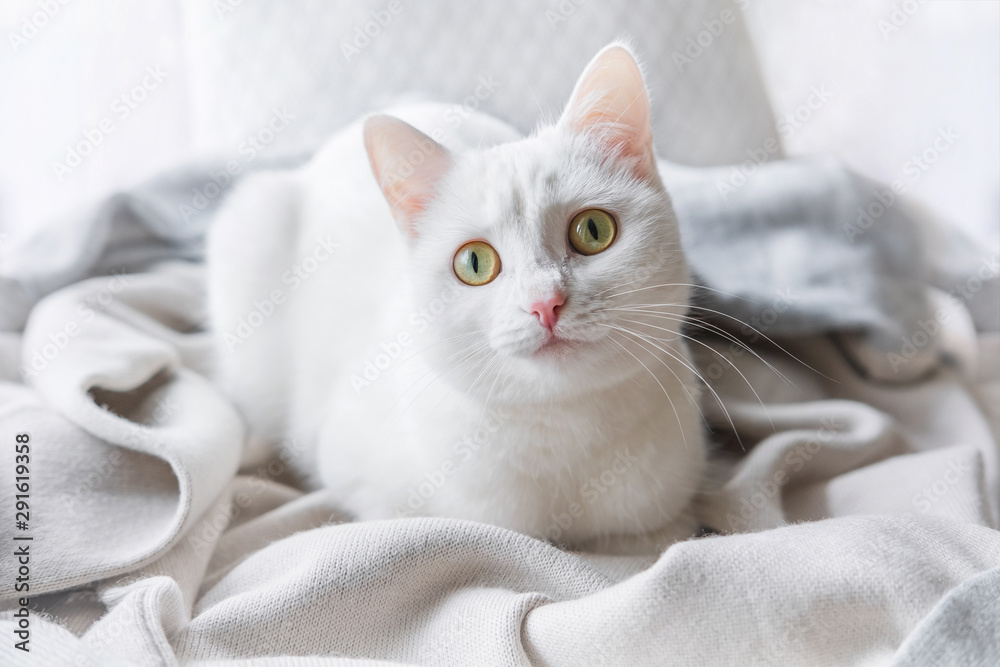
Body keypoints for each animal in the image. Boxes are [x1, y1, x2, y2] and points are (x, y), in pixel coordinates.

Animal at [205, 44, 704, 552]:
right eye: (475, 263)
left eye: (594, 231)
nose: (544, 303)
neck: (565, 435)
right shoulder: (359, 475)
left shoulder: (666, 509)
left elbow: (654, 538)